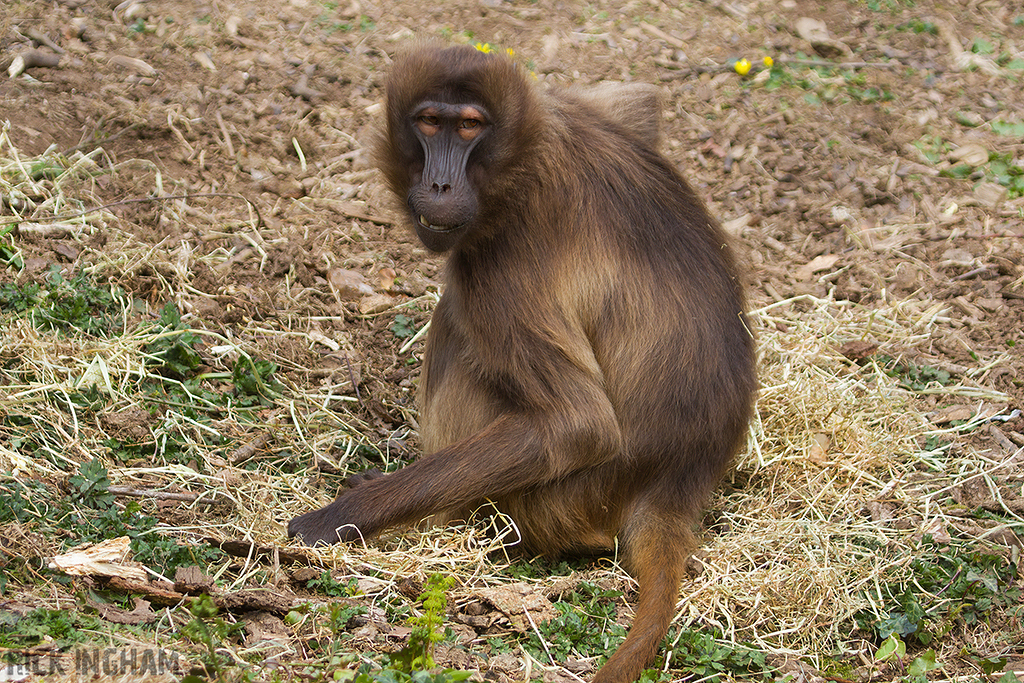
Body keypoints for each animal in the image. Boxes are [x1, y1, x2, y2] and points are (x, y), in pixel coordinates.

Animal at [292, 44, 757, 683]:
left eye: (469, 127)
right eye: (429, 122)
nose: (440, 182)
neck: (521, 158)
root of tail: (674, 489)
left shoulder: (500, 259)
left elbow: (578, 426)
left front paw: (340, 517)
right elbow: (640, 104)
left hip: (557, 503)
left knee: (457, 321)